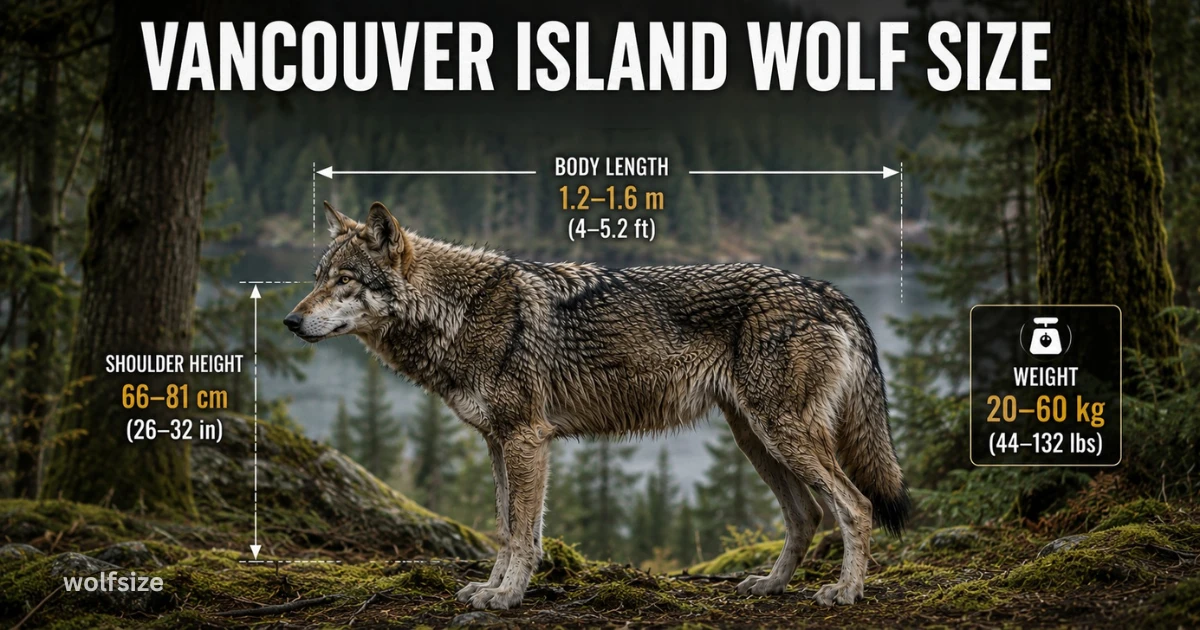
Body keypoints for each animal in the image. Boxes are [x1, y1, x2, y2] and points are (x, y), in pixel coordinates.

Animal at [285, 201, 910, 610]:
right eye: (316, 278)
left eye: (344, 280)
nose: (290, 320)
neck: (458, 312)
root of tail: (826, 290)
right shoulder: (497, 442)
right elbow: (505, 528)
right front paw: (490, 589)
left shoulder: (525, 439)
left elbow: (523, 532)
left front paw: (507, 596)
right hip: (755, 439)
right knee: (807, 515)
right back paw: (771, 586)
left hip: (780, 435)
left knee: (854, 506)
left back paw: (846, 592)